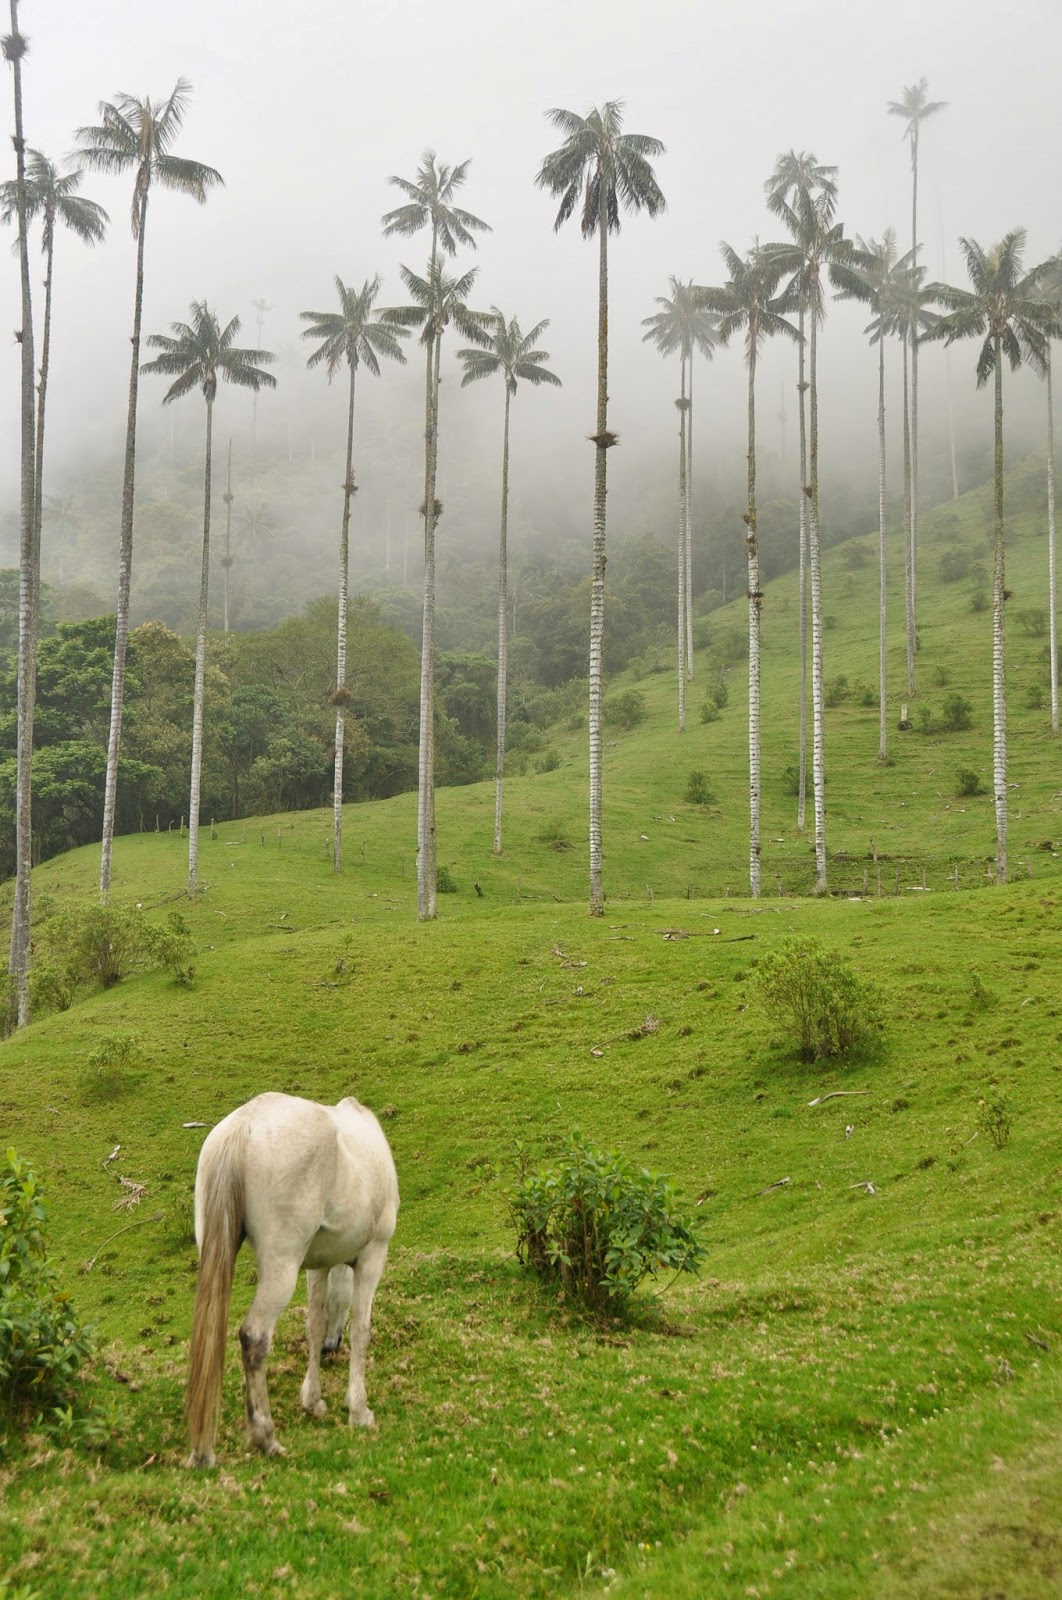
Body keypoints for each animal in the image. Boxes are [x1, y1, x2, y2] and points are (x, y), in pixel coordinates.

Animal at [184, 1094, 399, 1465]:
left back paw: (203, 1452)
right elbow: (361, 1330)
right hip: (281, 1269)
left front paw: (313, 1401)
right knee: (254, 1336)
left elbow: (314, 1324)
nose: (331, 1347)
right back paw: (265, 1438)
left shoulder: (319, 1266)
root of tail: (245, 1124)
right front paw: (359, 1411)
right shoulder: (373, 1256)